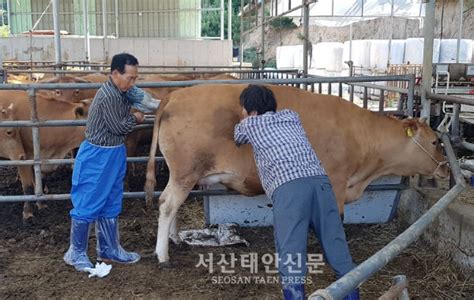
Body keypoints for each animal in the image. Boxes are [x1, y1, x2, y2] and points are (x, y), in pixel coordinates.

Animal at [143, 83, 448, 264]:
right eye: (435, 141)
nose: (445, 168)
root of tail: (175, 94)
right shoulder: (335, 182)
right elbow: (334, 218)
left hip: (183, 175)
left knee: (172, 205)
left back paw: (176, 239)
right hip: (185, 172)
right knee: (167, 204)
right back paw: (162, 254)